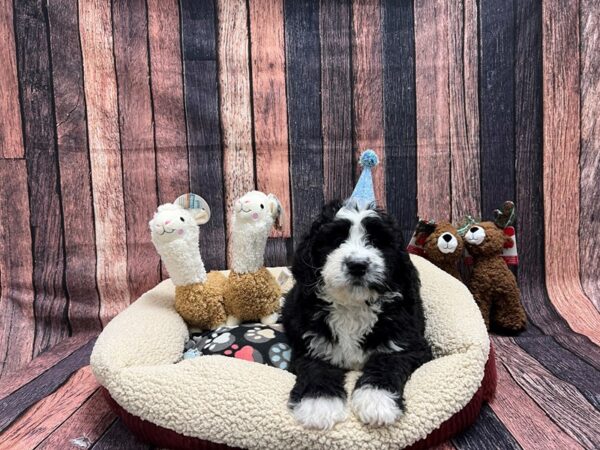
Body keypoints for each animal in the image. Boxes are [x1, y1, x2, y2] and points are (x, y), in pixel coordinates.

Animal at [282, 200, 432, 428]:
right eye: (336, 241)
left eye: (376, 241)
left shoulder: (409, 344)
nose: (357, 265)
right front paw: (318, 404)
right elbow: (316, 368)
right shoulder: (310, 345)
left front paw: (377, 400)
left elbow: (388, 362)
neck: (353, 306)